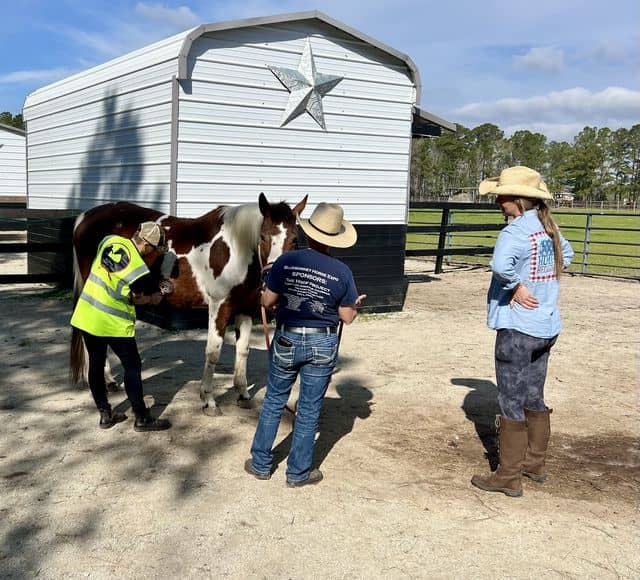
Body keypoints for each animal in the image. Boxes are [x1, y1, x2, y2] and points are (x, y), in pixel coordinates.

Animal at [71, 193, 306, 414]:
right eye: (263, 237)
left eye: (294, 239)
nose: (274, 278)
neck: (235, 248)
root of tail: (85, 217)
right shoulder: (220, 305)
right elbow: (213, 350)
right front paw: (209, 400)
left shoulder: (246, 309)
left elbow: (243, 350)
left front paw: (242, 395)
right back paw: (106, 381)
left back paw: (109, 382)